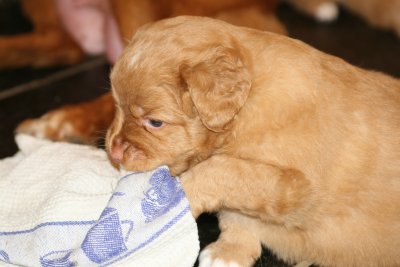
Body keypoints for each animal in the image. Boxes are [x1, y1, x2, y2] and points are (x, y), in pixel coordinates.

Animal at [105, 16, 400, 267]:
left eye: (155, 122)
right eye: (116, 106)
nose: (114, 152)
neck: (245, 108)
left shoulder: (298, 186)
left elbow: (222, 169)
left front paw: (172, 199)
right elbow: (235, 211)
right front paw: (230, 252)